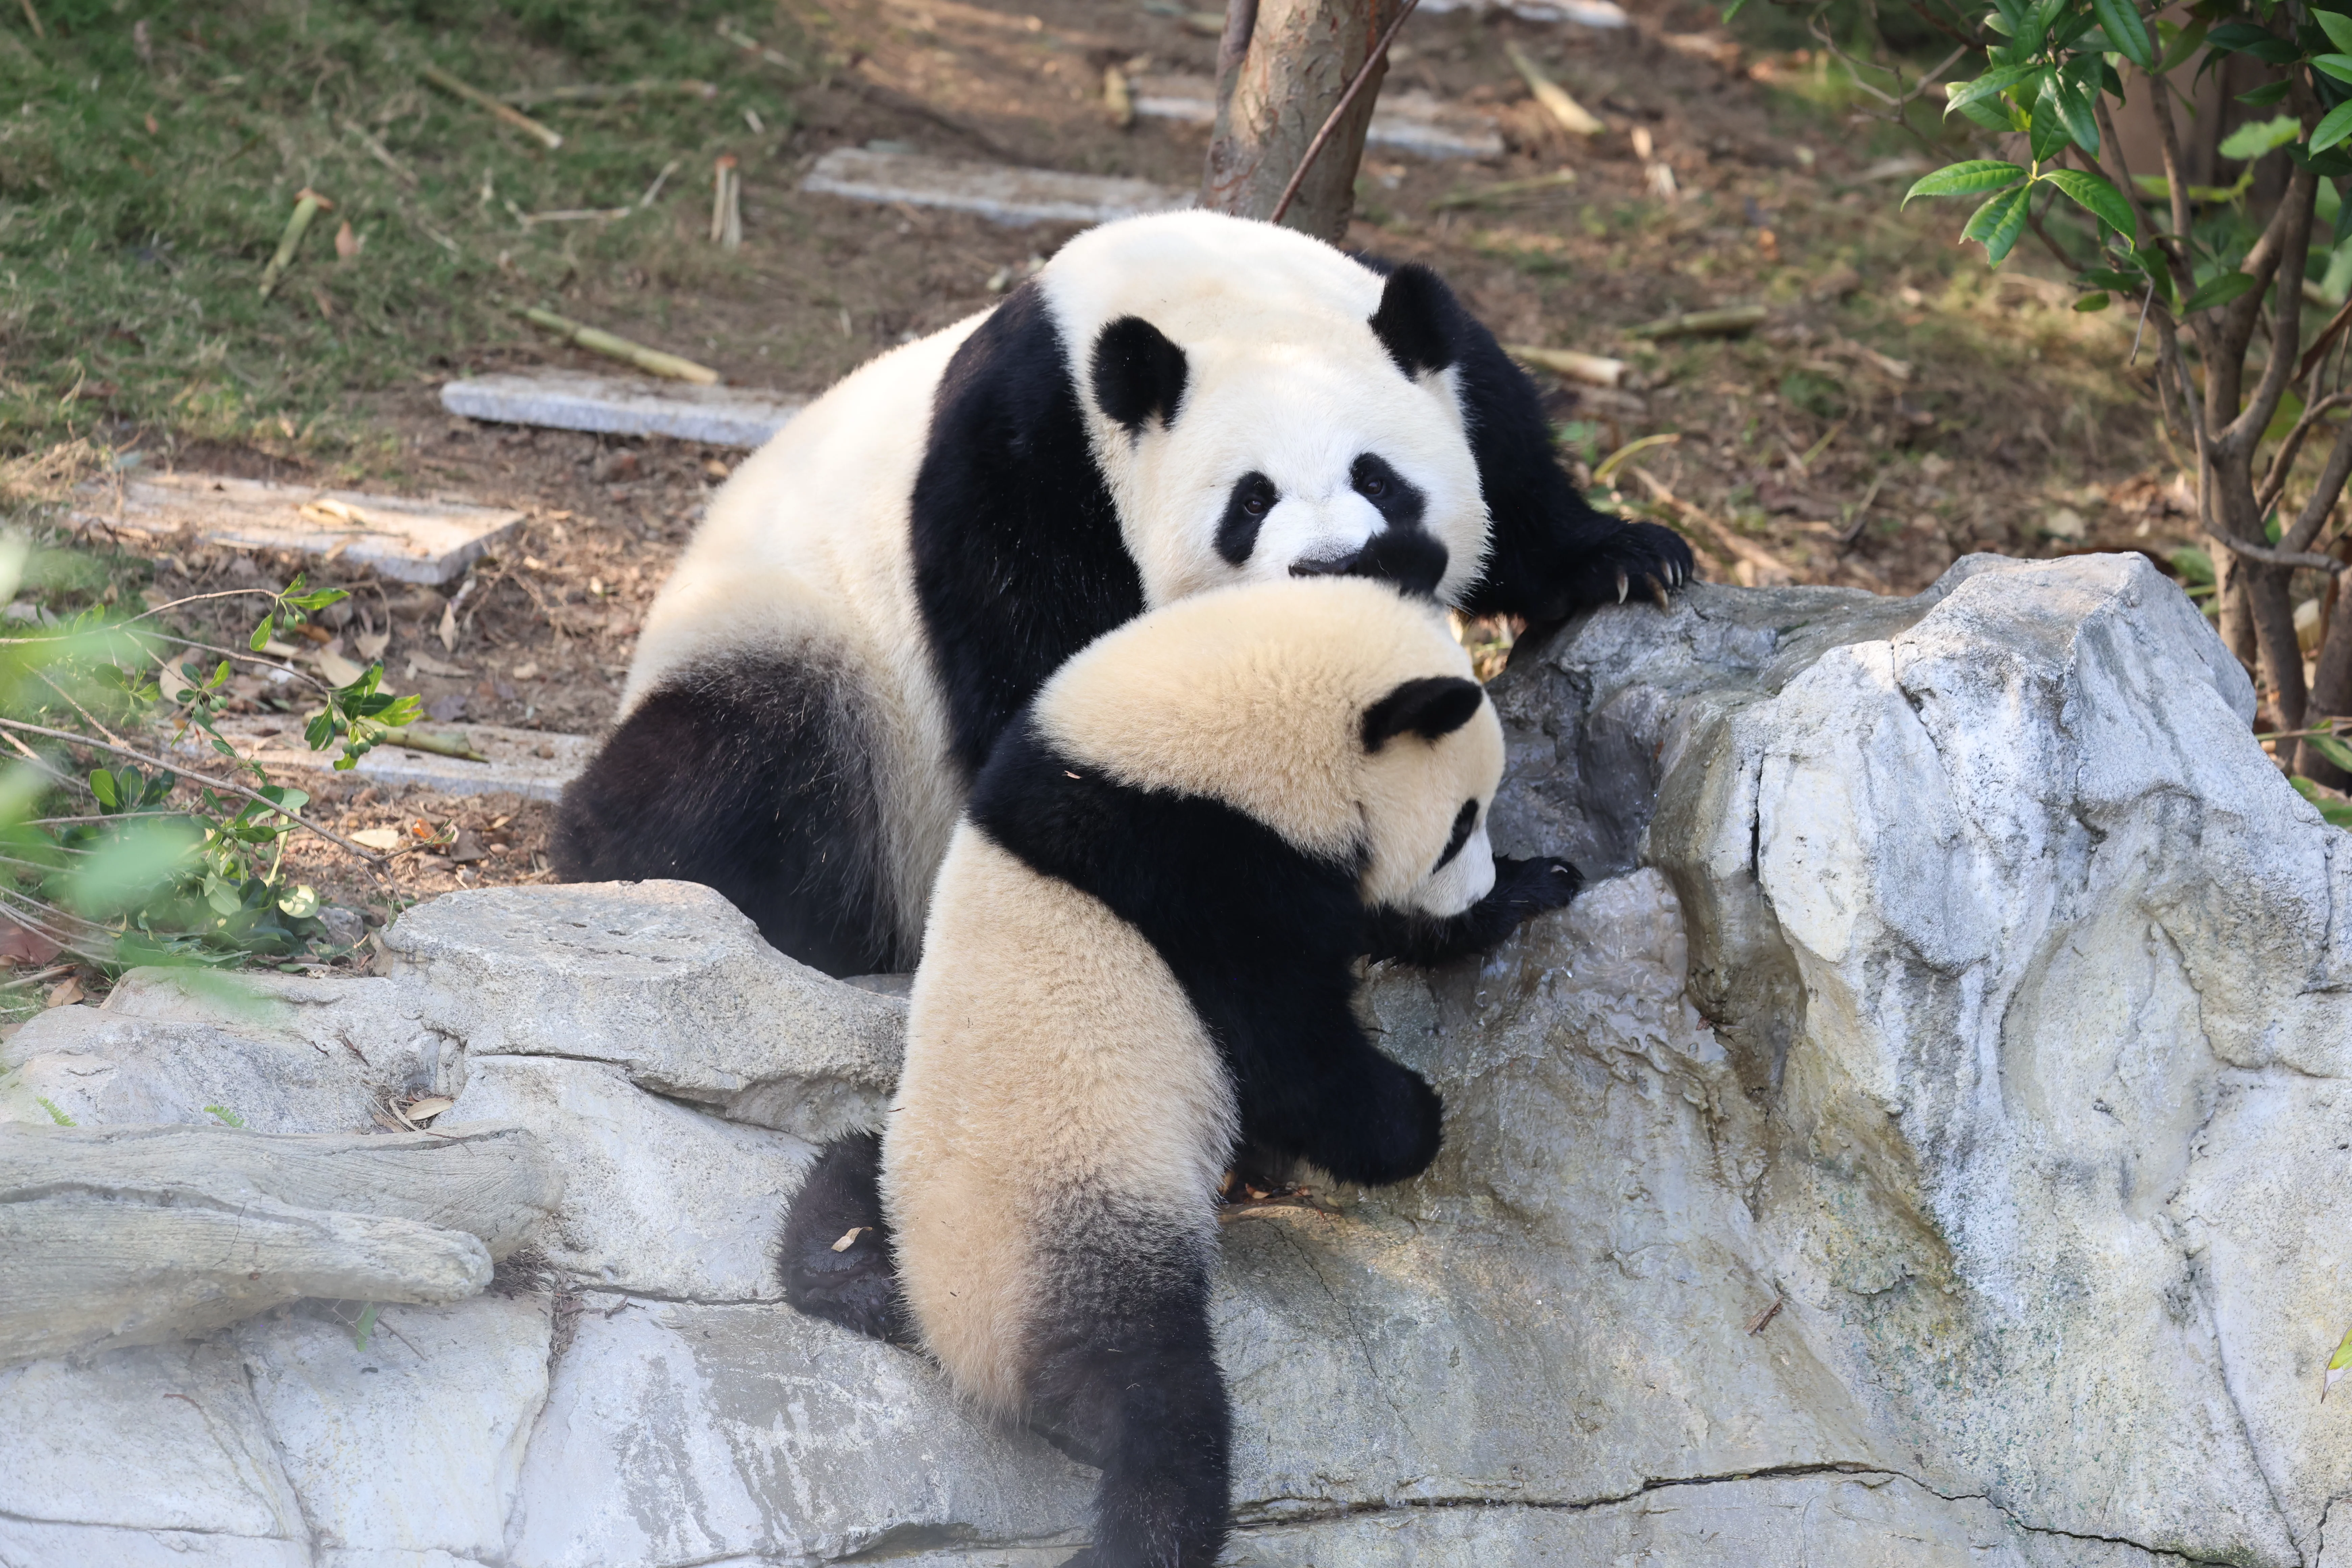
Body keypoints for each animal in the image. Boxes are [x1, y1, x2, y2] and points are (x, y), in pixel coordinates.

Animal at [552, 209, 1691, 979]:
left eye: (1378, 480)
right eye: (1250, 503)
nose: (1332, 570)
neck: (1209, 304)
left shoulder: (1444, 361)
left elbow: (1514, 474)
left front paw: (1629, 559)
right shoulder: (1025, 479)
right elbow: (1060, 719)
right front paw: (1445, 905)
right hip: (815, 663)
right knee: (740, 772)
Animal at [780, 576, 1547, 1568]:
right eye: (1461, 823)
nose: (1475, 885)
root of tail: (954, 1337)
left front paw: (1527, 891)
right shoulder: (1204, 875)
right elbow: (1288, 1052)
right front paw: (1414, 1119)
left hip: (911, 1177)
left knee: (841, 1172)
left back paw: (846, 1275)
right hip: (1091, 1241)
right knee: (1158, 1407)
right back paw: (1143, 1527)